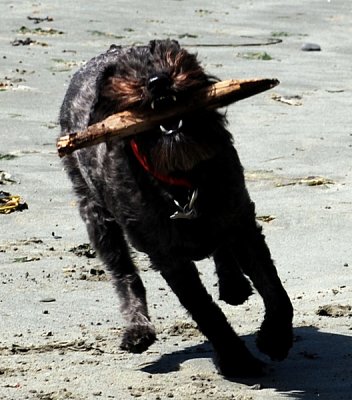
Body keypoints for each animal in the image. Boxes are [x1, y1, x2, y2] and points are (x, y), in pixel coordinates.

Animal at [59, 40, 292, 378]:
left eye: (174, 58)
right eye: (125, 76)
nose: (158, 82)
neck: (180, 176)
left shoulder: (240, 221)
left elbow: (273, 286)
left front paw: (276, 337)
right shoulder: (168, 257)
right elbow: (206, 311)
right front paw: (238, 360)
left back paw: (233, 284)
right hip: (95, 214)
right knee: (124, 273)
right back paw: (137, 329)